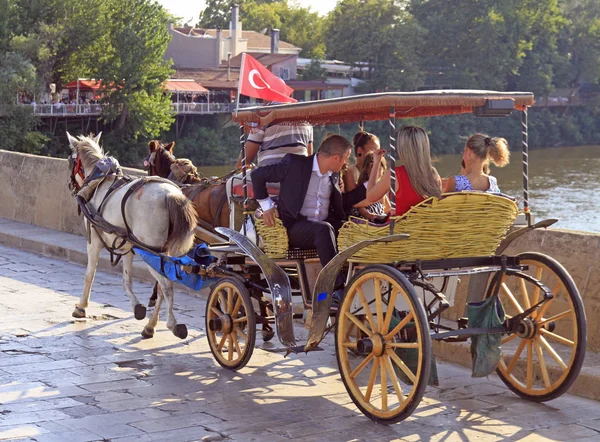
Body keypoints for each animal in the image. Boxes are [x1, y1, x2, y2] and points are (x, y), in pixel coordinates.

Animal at [66, 133, 197, 340]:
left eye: (70, 160)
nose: (70, 185)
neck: (99, 181)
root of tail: (171, 195)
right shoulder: (127, 245)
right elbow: (126, 280)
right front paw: (137, 307)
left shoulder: (93, 242)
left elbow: (89, 275)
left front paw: (81, 307)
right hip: (168, 253)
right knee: (162, 288)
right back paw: (150, 326)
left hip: (151, 251)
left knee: (166, 286)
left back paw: (172, 324)